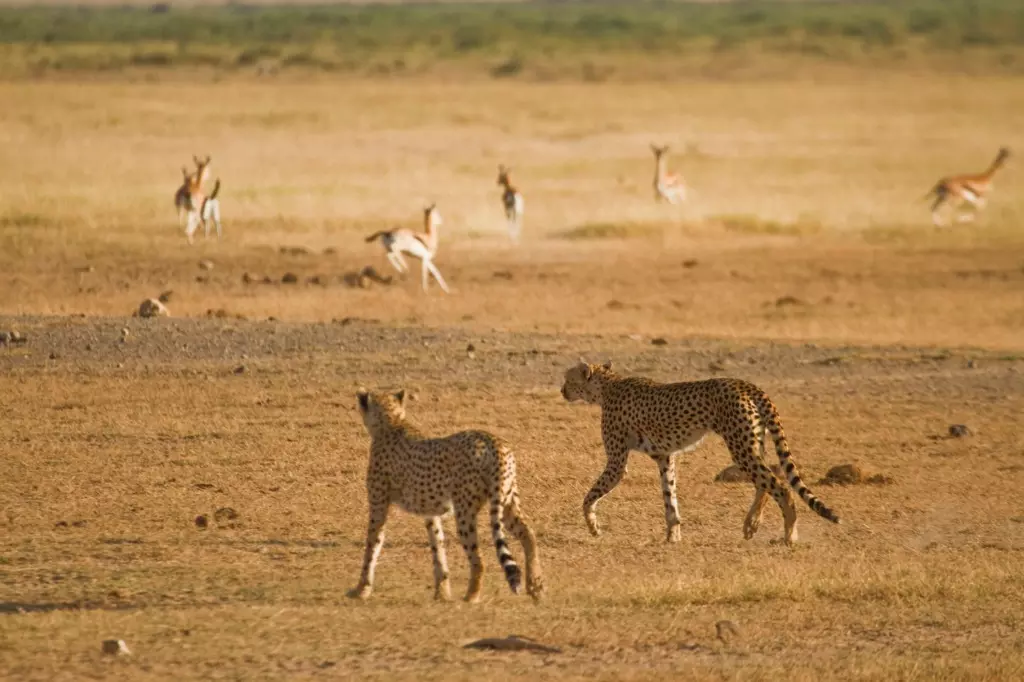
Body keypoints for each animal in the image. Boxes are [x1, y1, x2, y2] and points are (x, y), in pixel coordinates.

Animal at [348, 388, 543, 603]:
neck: (392, 422)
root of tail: (493, 441)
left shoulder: (379, 504)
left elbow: (372, 545)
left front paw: (361, 589)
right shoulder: (430, 512)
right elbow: (438, 546)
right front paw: (442, 592)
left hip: (465, 511)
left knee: (479, 558)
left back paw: (472, 596)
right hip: (505, 501)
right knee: (529, 535)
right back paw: (536, 585)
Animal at [560, 359, 840, 546]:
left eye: (568, 378)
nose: (562, 391)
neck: (607, 385)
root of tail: (743, 383)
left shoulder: (617, 461)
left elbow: (589, 497)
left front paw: (593, 527)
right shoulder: (665, 456)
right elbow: (669, 496)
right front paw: (673, 535)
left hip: (740, 445)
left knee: (780, 486)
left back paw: (789, 535)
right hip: (752, 442)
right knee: (769, 478)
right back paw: (751, 525)